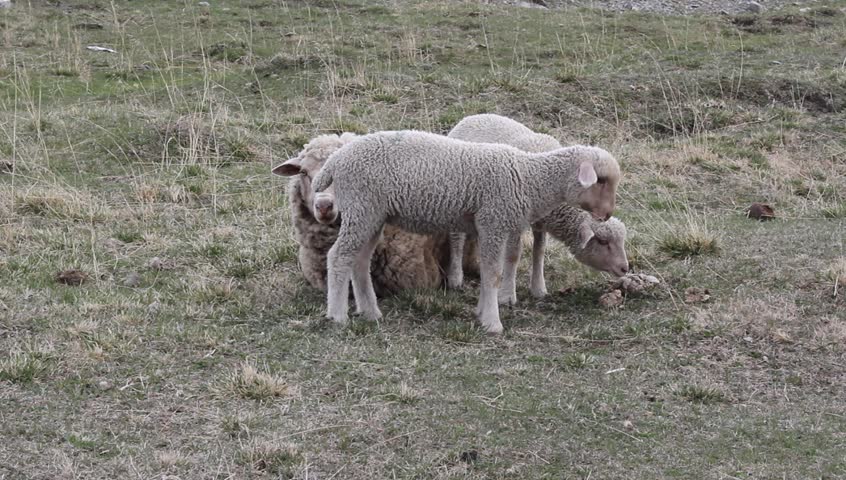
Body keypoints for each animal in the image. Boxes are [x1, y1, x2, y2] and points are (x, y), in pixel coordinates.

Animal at [311, 129, 621, 333]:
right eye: (601, 180)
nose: (607, 214)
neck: (528, 177)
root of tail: (336, 160)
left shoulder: (492, 225)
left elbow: (488, 272)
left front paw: (483, 312)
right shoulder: (493, 220)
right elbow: (493, 273)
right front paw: (493, 322)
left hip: (371, 214)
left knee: (359, 261)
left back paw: (370, 312)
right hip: (361, 207)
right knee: (338, 257)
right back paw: (337, 315)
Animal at [447, 114, 629, 300]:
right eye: (602, 241)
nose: (625, 268)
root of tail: (472, 117)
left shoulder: (541, 223)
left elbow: (539, 251)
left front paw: (538, 288)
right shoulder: (515, 220)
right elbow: (513, 256)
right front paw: (507, 295)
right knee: (456, 238)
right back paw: (456, 277)